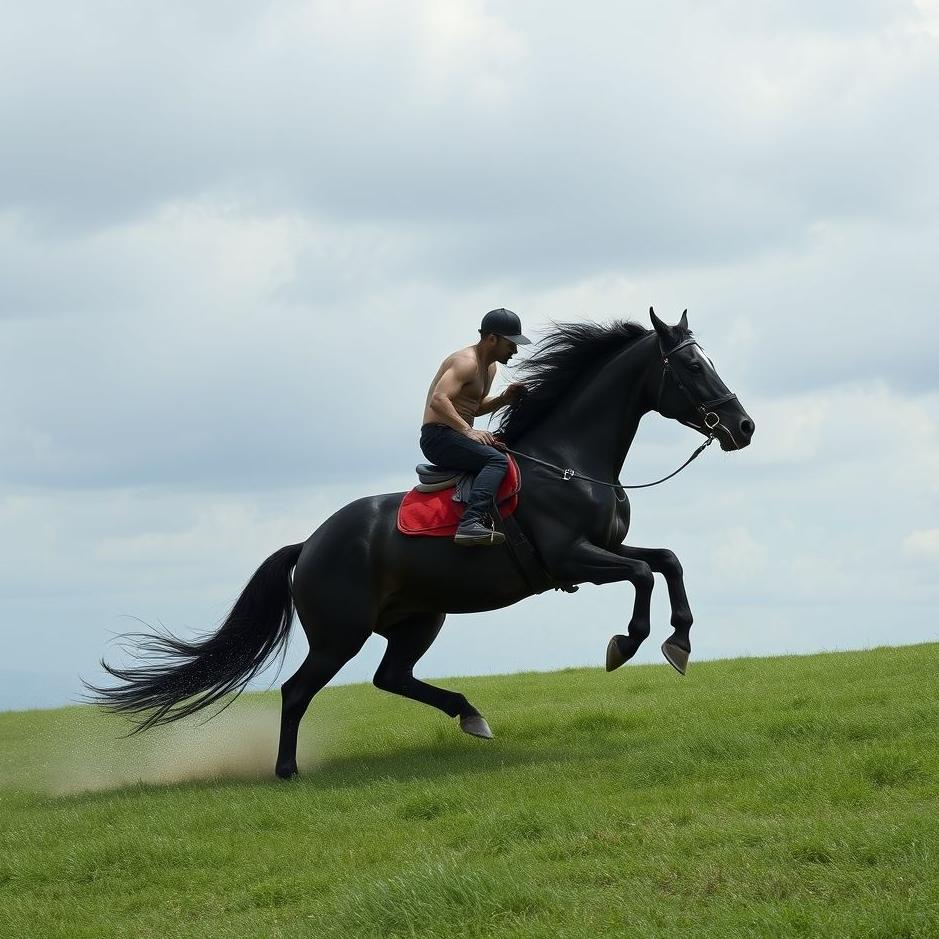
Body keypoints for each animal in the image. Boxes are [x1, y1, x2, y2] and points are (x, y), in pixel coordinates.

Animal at [86, 308, 754, 779]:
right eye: (692, 368)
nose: (743, 427)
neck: (567, 462)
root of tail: (310, 544)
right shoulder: (571, 559)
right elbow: (643, 577)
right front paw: (629, 644)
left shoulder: (602, 552)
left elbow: (667, 562)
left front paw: (679, 641)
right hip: (341, 633)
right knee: (300, 690)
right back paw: (287, 770)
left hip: (418, 619)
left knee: (392, 677)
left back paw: (471, 715)